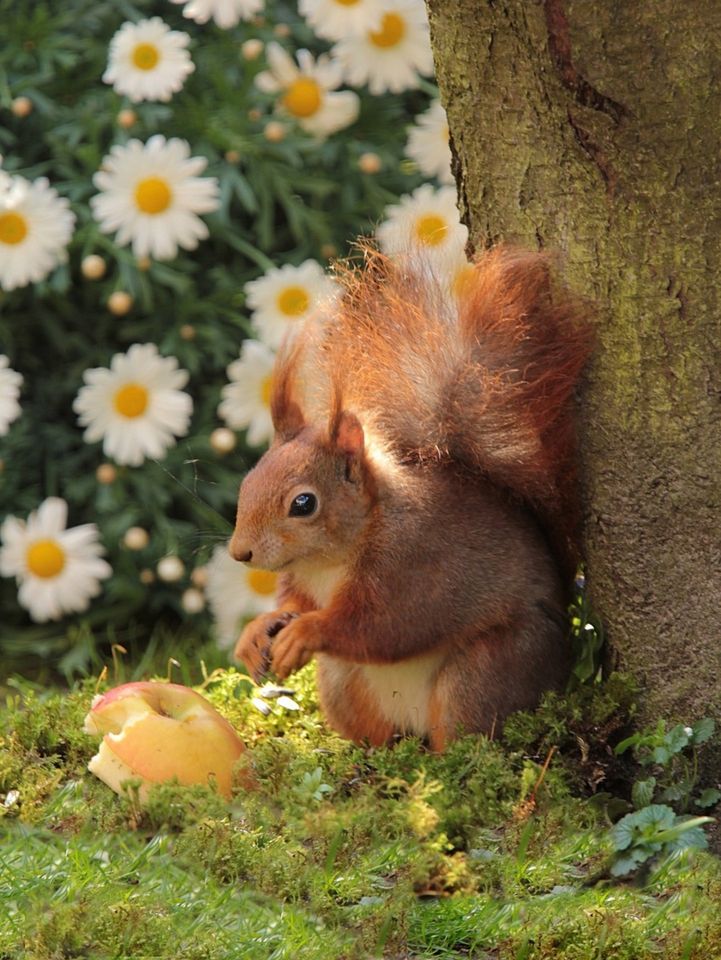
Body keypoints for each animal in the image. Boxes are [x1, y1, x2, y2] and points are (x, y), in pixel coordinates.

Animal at [231, 246, 592, 752]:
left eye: (303, 504)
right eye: (247, 484)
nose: (239, 552)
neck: (333, 558)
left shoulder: (413, 566)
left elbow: (383, 627)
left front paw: (307, 631)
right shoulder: (305, 581)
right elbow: (295, 603)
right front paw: (256, 632)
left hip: (482, 675)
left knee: (466, 735)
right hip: (344, 684)